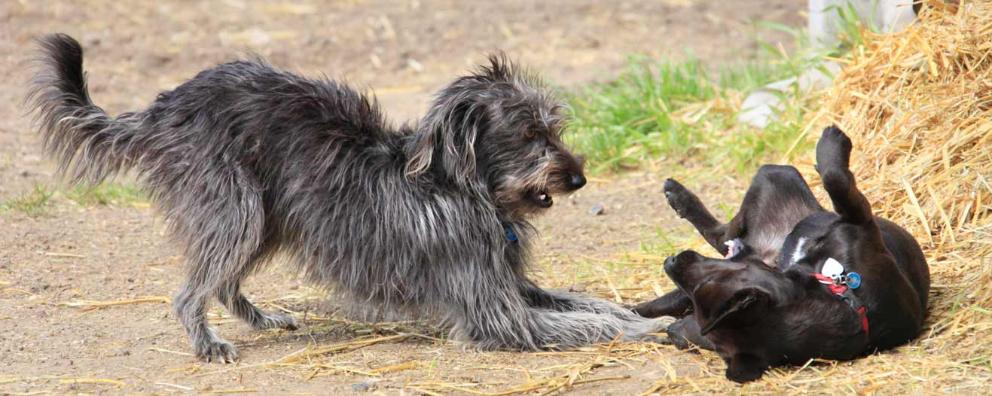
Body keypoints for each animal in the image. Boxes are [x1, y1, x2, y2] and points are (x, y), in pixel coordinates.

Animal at [29, 33, 668, 362]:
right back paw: (207, 343)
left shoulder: (514, 287)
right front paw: (647, 332)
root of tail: (164, 107)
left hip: (265, 215)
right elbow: (583, 326)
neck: (456, 187)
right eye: (530, 134)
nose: (578, 179)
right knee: (191, 291)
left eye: (554, 129)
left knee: (224, 281)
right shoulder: (498, 315)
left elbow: (589, 305)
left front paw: (638, 313)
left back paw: (261, 317)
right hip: (236, 210)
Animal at [636, 127, 928, 380]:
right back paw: (679, 198)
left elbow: (835, 180)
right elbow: (835, 179)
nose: (671, 262)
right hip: (776, 176)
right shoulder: (859, 219)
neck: (847, 297)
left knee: (726, 236)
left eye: (706, 285)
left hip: (774, 179)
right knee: (725, 235)